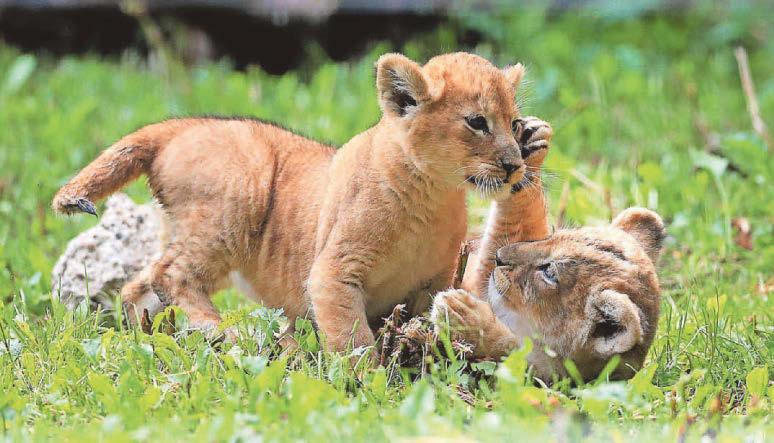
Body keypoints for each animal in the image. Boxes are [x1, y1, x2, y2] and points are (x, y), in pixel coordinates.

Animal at [52, 52, 539, 351]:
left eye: (514, 124)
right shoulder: (334, 272)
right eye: (477, 122)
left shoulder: (435, 280)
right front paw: (371, 389)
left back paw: (154, 338)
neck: (434, 195)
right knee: (169, 275)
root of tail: (180, 125)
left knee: (139, 285)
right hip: (239, 196)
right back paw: (228, 333)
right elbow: (352, 340)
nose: (515, 166)